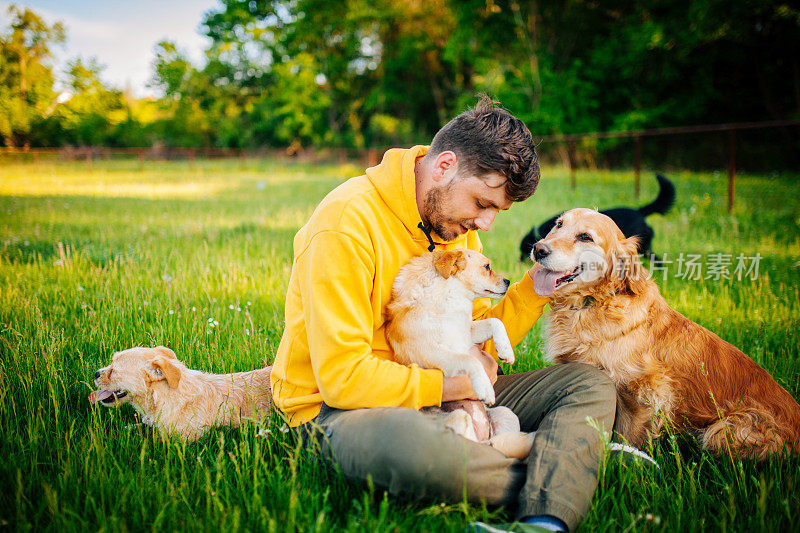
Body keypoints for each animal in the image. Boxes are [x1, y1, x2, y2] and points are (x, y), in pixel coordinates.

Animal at [384, 249, 536, 458]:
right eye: (486, 267)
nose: (507, 280)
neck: (449, 298)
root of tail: (484, 435)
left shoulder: (467, 334)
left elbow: (495, 322)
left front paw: (506, 351)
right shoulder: (433, 354)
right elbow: (470, 360)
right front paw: (485, 388)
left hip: (507, 414)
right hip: (460, 417)